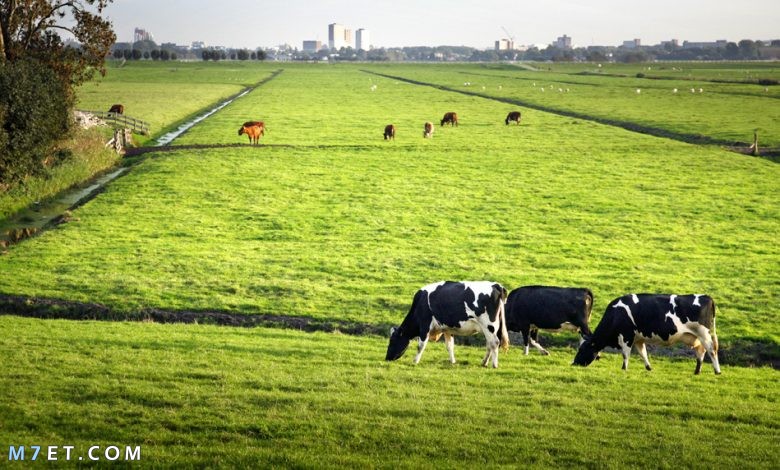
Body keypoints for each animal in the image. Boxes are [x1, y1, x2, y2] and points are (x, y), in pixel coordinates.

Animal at [568, 294, 724, 374]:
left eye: (582, 349)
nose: (574, 363)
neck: (616, 314)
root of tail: (706, 297)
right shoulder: (638, 339)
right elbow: (643, 353)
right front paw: (649, 368)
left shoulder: (627, 336)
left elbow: (626, 354)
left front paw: (624, 369)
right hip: (696, 337)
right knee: (701, 352)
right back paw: (697, 371)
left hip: (705, 334)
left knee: (712, 350)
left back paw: (717, 371)